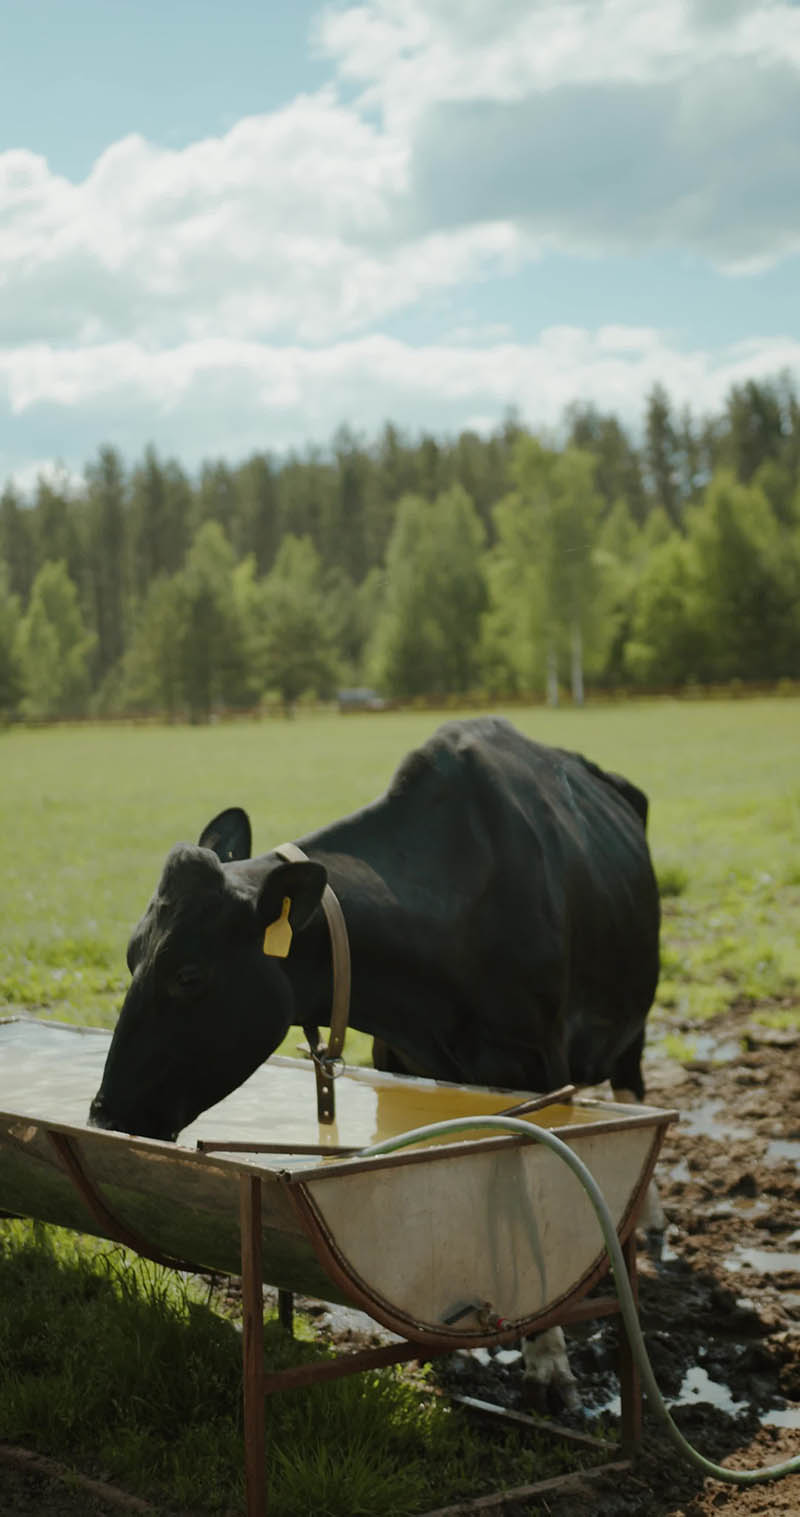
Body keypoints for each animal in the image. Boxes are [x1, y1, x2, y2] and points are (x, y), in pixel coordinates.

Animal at [90, 716, 661, 1140]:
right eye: (131, 956)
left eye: (189, 976)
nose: (105, 1114)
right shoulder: (399, 1063)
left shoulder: (541, 1064)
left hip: (632, 1023)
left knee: (631, 1086)